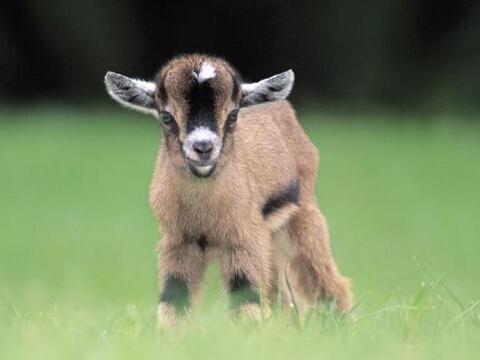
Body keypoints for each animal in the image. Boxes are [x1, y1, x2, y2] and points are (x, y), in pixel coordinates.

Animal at [105, 54, 350, 326]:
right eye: (166, 116)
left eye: (233, 115)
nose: (203, 147)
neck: (203, 213)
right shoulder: (179, 242)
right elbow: (174, 300)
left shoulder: (244, 240)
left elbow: (246, 300)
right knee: (282, 298)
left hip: (302, 218)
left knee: (327, 283)